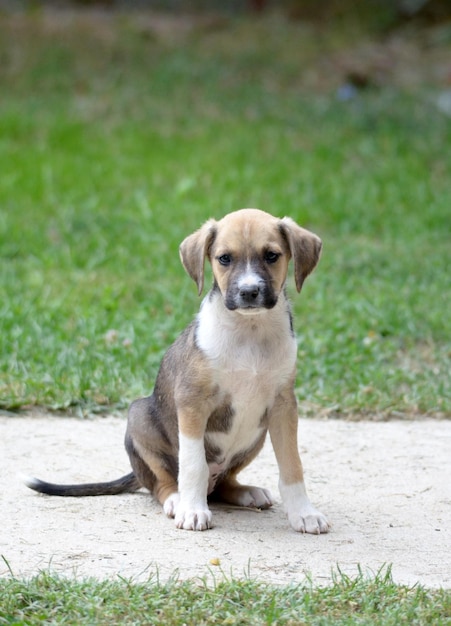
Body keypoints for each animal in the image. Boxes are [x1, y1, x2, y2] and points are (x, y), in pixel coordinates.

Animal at [26, 208, 330, 532]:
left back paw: (246, 492)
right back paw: (176, 500)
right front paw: (192, 510)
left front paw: (304, 513)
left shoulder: (283, 407)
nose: (249, 292)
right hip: (138, 418)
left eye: (272, 255)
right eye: (224, 258)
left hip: (256, 436)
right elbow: (193, 464)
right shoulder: (192, 402)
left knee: (223, 484)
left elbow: (292, 465)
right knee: (163, 482)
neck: (249, 331)